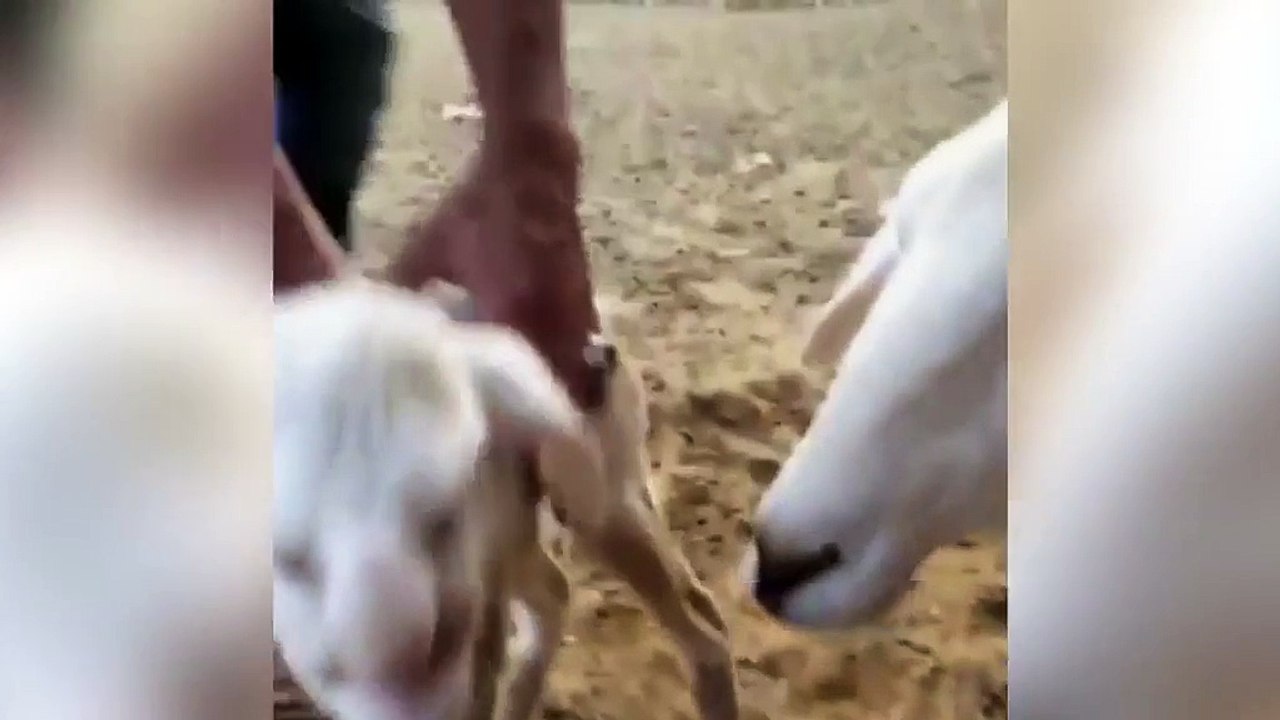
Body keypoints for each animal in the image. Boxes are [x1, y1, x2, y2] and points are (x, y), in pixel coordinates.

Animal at [273, 279, 738, 720]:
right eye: (288, 559)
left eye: (446, 518)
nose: (397, 660)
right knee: (560, 592)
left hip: (591, 499)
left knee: (703, 633)